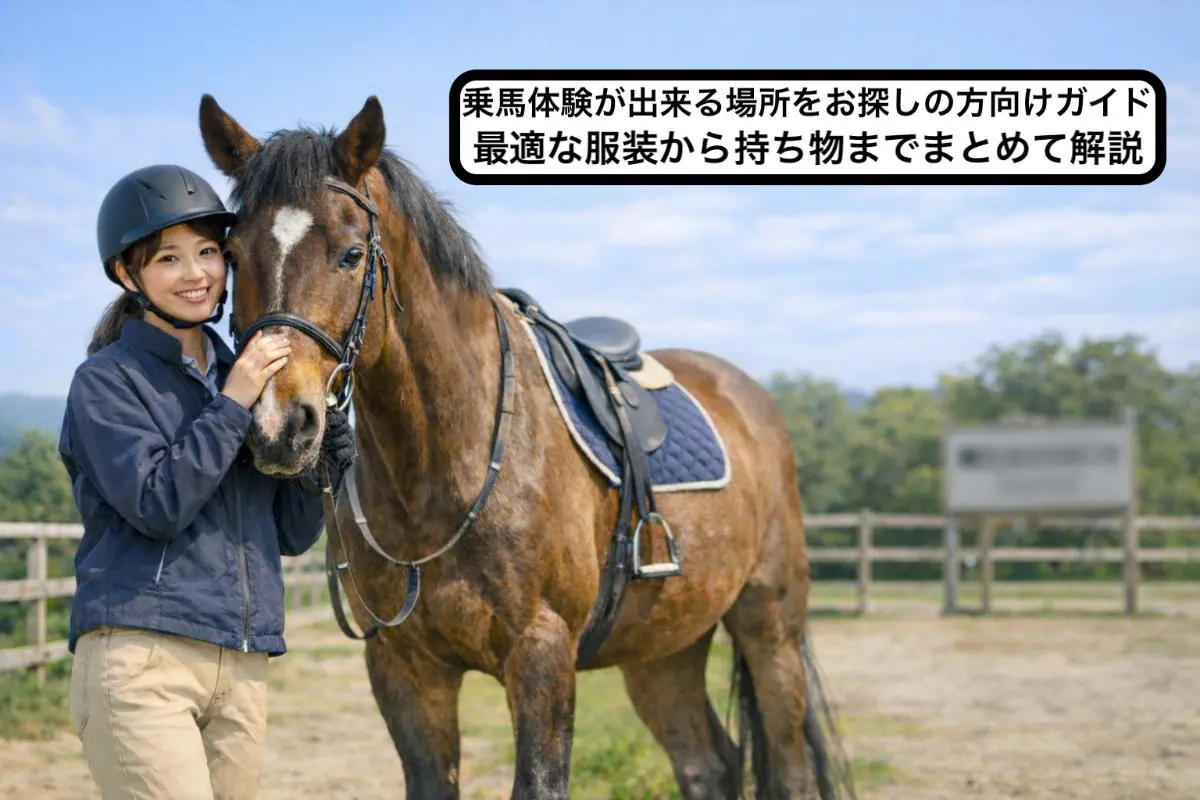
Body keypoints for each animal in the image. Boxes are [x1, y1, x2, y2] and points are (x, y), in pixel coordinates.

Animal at [197, 92, 855, 800]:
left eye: (350, 254)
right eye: (231, 253)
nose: (277, 424)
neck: (442, 465)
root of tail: (751, 401)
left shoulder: (542, 655)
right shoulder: (405, 669)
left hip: (770, 629)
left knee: (787, 767)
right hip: (664, 649)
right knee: (709, 764)